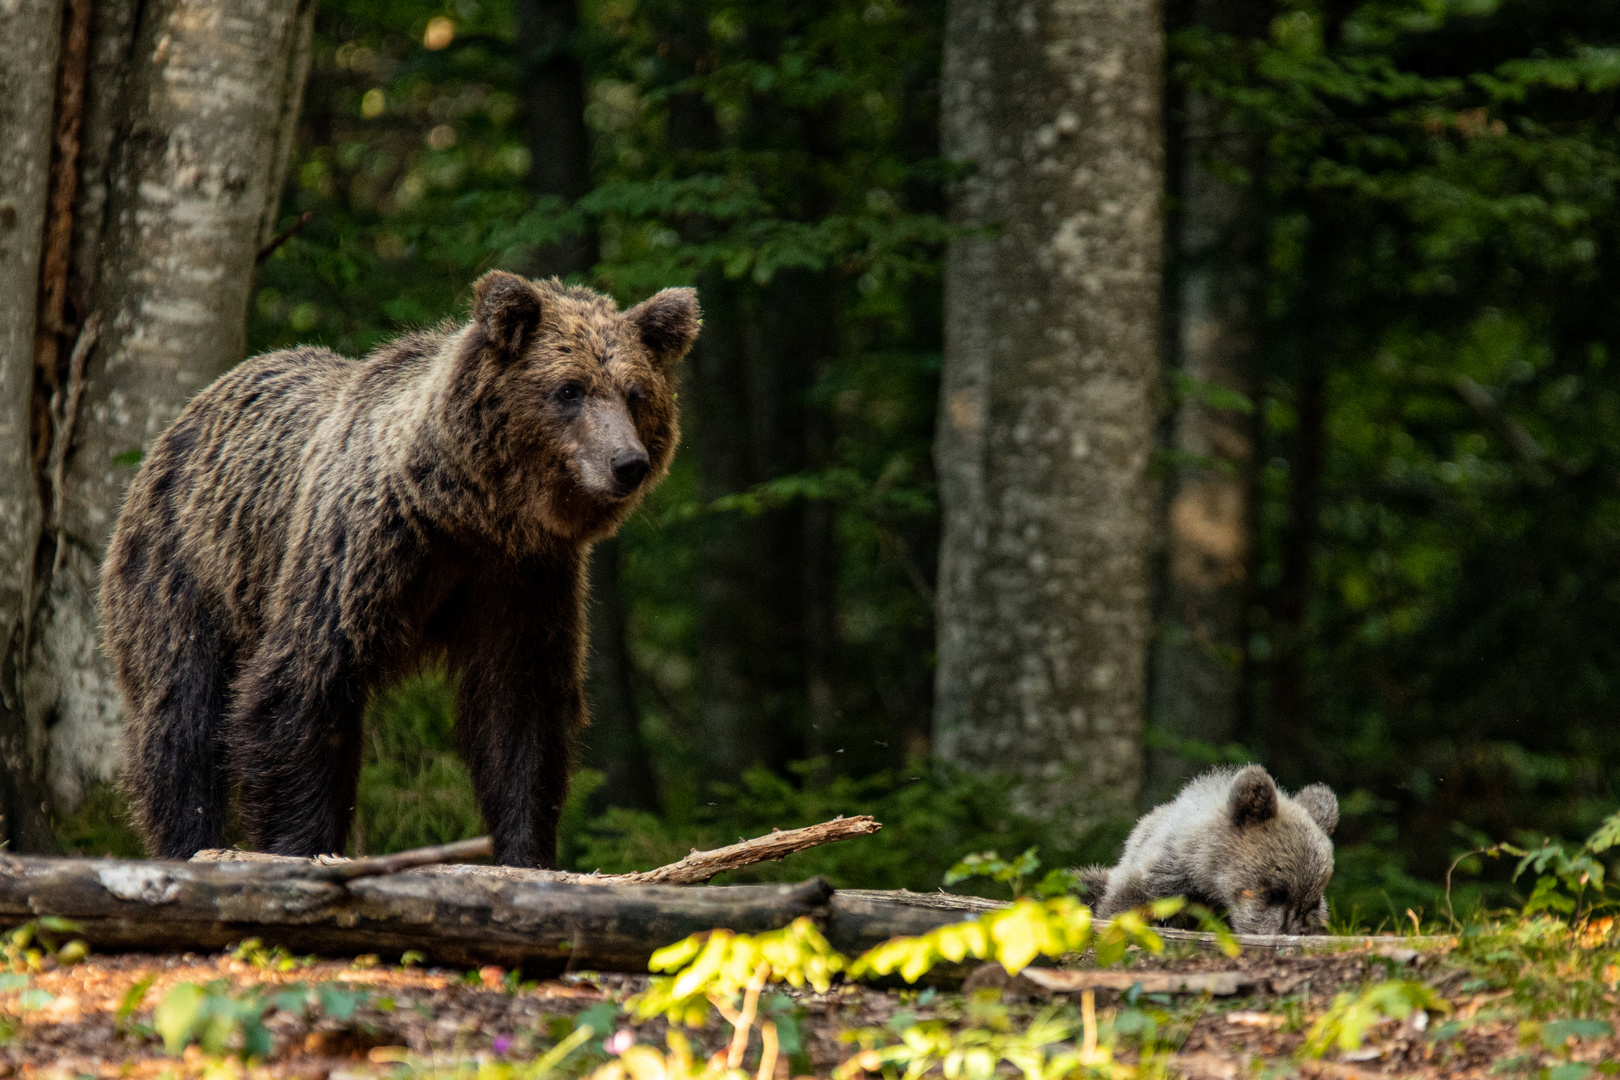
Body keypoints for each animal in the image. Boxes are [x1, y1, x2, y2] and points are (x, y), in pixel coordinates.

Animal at [101, 272, 696, 867]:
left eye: (636, 394)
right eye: (570, 389)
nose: (627, 463)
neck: (468, 513)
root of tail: (191, 411)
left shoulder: (523, 579)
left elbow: (520, 713)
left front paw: (526, 852)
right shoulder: (362, 554)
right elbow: (300, 690)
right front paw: (301, 846)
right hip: (185, 571)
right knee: (182, 717)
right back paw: (188, 841)